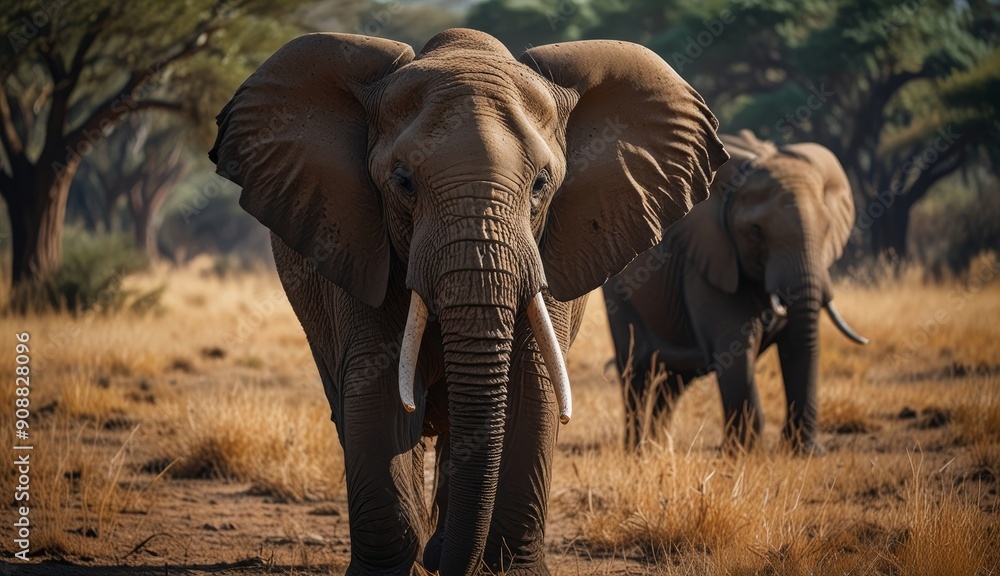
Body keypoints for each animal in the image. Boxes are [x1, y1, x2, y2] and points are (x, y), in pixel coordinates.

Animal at [209, 29, 727, 575]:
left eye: (541, 184)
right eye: (403, 182)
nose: (443, 562)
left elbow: (530, 386)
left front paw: (505, 569)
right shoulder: (356, 240)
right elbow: (378, 388)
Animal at [604, 130, 868, 454]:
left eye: (828, 226)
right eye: (755, 231)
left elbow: (797, 344)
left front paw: (804, 452)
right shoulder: (708, 264)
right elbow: (737, 345)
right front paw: (743, 454)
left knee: (672, 381)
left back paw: (658, 449)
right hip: (618, 293)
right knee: (636, 372)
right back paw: (638, 452)